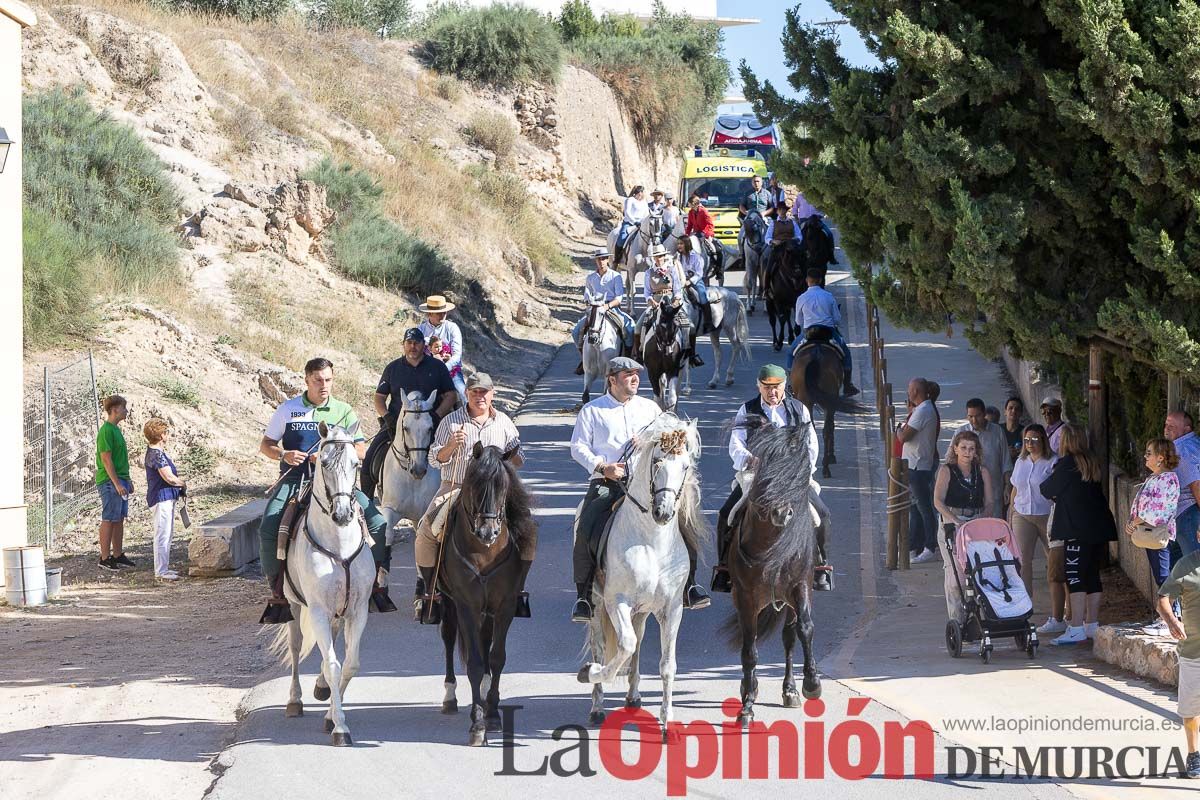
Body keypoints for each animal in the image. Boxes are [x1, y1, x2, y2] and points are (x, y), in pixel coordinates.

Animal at [272, 422, 374, 748]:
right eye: (325, 462)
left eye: (356, 464)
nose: (342, 514)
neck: (338, 545)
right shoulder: (316, 610)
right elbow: (333, 664)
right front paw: (340, 727)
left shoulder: (358, 610)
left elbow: (350, 663)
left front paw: (331, 715)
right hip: (293, 605)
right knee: (295, 649)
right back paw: (295, 701)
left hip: (338, 612)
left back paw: (320, 688)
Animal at [374, 391, 441, 554]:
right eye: (405, 428)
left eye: (430, 428)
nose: (418, 470)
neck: (411, 480)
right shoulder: (390, 509)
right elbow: (387, 533)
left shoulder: (424, 515)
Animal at [436, 441, 535, 748]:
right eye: (475, 484)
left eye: (504, 487)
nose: (487, 532)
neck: (485, 552)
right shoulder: (466, 604)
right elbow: (476, 663)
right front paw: (478, 724)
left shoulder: (504, 606)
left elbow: (496, 657)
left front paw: (491, 715)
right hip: (450, 604)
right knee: (448, 639)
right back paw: (450, 697)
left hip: (488, 610)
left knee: (484, 640)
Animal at [720, 419, 825, 724]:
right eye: (766, 472)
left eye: (795, 471)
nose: (781, 513)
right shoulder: (745, 597)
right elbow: (749, 650)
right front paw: (747, 706)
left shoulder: (800, 586)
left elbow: (805, 628)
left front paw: (812, 683)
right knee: (751, 640)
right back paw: (749, 687)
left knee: (789, 639)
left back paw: (790, 690)